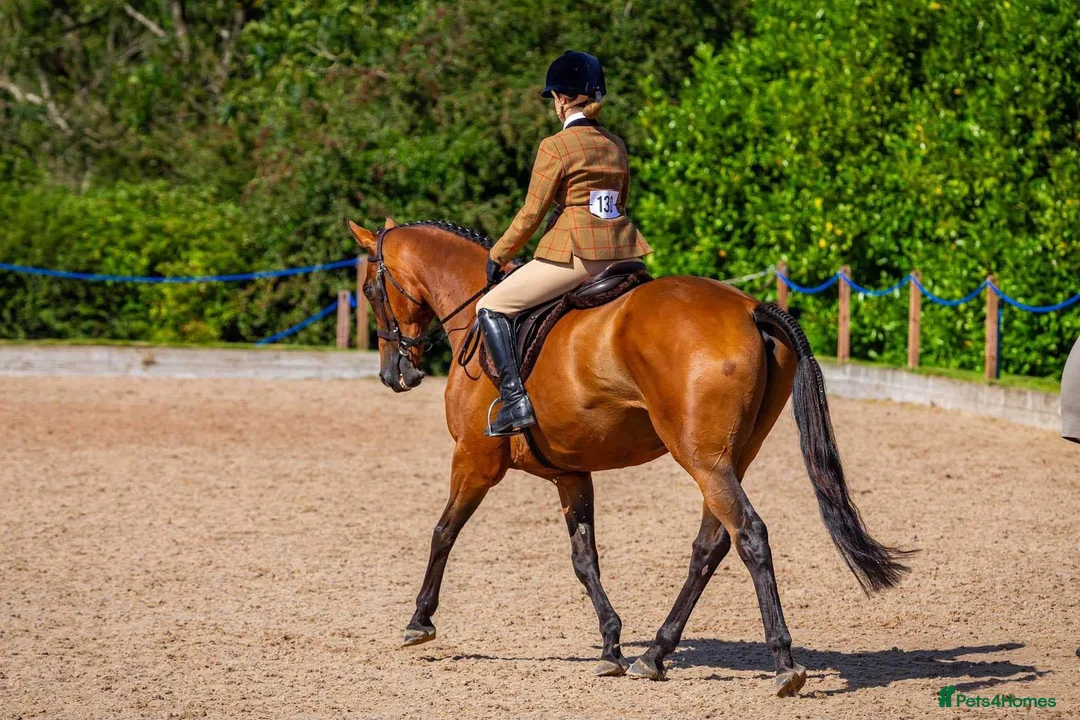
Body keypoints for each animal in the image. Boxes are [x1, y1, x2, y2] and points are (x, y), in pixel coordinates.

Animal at [347, 217, 911, 696]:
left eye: (371, 290)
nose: (395, 374)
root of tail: (748, 307)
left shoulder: (474, 461)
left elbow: (443, 531)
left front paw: (419, 621)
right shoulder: (571, 473)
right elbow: (585, 560)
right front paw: (612, 646)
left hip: (703, 461)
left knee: (749, 535)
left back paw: (783, 664)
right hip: (726, 461)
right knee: (711, 546)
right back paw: (654, 655)